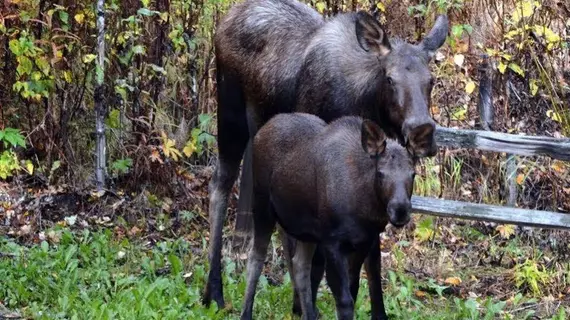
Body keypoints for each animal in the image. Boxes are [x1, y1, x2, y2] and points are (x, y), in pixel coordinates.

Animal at [239, 114, 412, 318]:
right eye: (380, 173)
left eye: (413, 174)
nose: (400, 210)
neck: (367, 212)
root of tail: (263, 129)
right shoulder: (332, 242)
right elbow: (344, 300)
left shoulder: (364, 242)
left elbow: (353, 289)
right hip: (262, 207)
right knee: (255, 258)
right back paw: (246, 313)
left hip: (306, 232)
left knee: (300, 266)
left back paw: (308, 314)